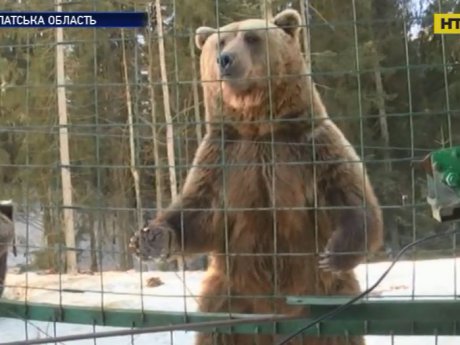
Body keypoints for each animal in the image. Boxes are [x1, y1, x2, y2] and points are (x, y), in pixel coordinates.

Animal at [130, 8, 384, 344]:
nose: (225, 59)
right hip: (229, 296)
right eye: (220, 41)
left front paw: (333, 253)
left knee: (338, 331)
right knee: (215, 329)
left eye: (251, 37)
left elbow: (348, 195)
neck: (258, 126)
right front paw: (150, 237)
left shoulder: (309, 146)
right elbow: (199, 211)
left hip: (326, 299)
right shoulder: (224, 158)